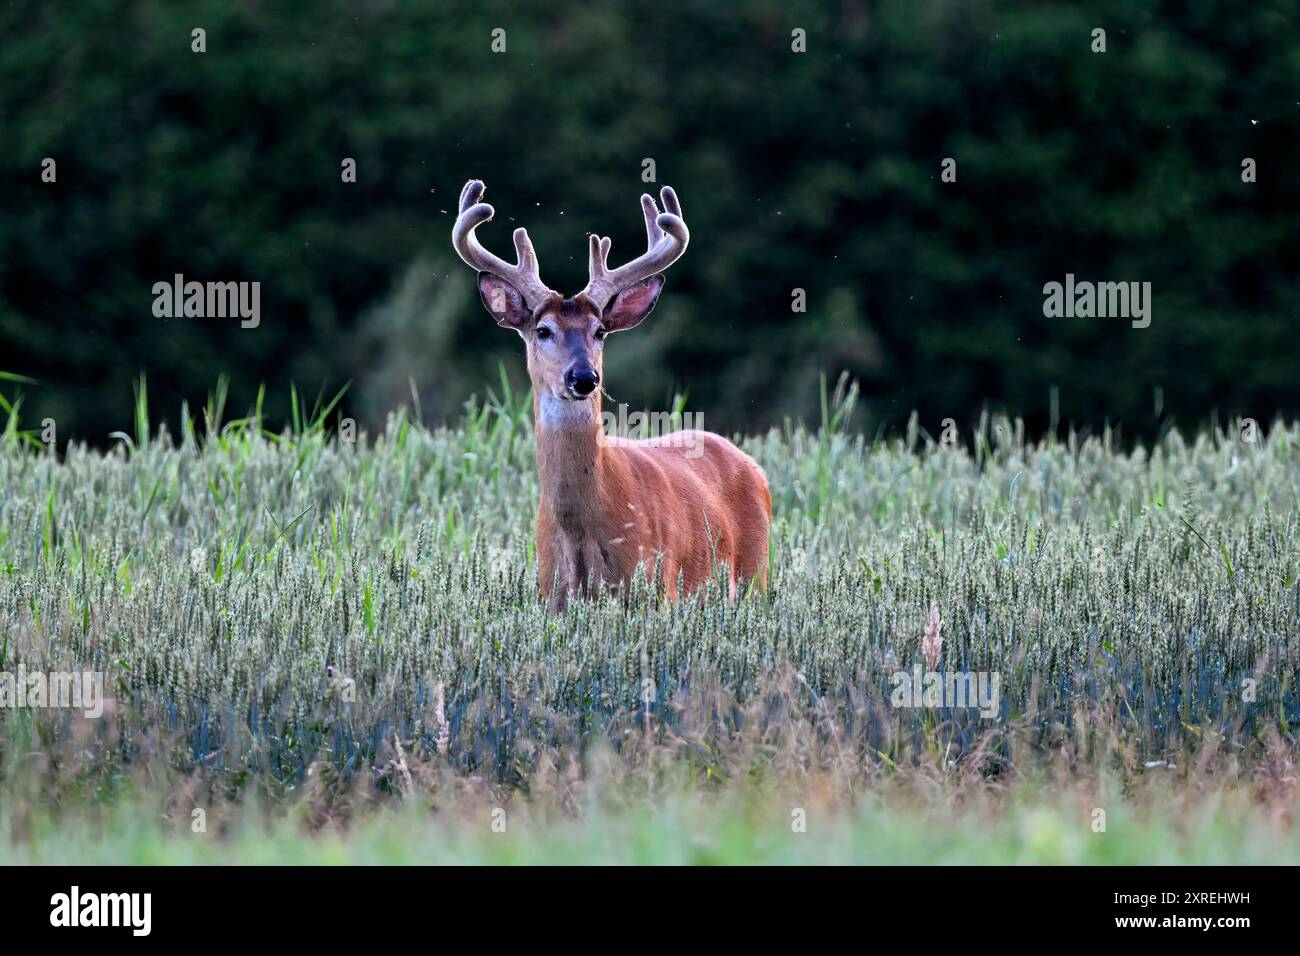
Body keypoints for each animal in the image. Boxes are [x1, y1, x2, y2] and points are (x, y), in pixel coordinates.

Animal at [452, 179, 771, 610]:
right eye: (543, 330)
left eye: (600, 330)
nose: (584, 377)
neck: (578, 532)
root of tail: (752, 465)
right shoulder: (552, 597)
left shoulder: (658, 588)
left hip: (756, 577)